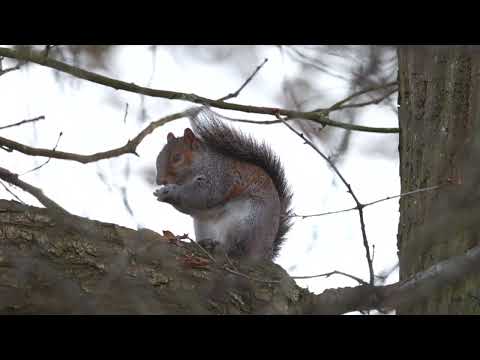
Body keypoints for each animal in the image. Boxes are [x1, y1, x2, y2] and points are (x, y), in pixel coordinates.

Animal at [154, 107, 292, 262]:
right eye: (158, 157)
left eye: (177, 158)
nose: (159, 180)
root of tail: (266, 253)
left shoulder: (219, 177)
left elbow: (204, 195)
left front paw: (170, 192)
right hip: (204, 225)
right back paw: (206, 243)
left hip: (248, 222)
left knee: (237, 247)